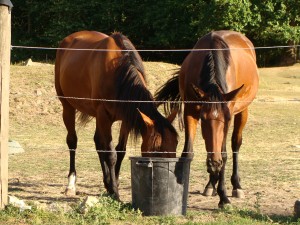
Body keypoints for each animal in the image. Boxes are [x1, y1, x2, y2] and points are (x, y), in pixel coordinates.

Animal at [54, 30, 178, 200]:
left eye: (176, 144)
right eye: (156, 149)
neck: (118, 73)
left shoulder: (126, 117)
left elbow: (120, 150)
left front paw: (114, 185)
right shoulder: (104, 115)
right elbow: (111, 154)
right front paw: (115, 192)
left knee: (98, 142)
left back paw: (106, 182)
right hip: (68, 106)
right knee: (72, 141)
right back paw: (71, 184)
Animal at [155, 30, 258, 207]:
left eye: (227, 119)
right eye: (203, 119)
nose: (214, 163)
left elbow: (224, 153)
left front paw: (224, 197)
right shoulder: (190, 112)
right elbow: (187, 153)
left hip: (243, 111)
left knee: (235, 143)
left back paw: (235, 185)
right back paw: (211, 184)